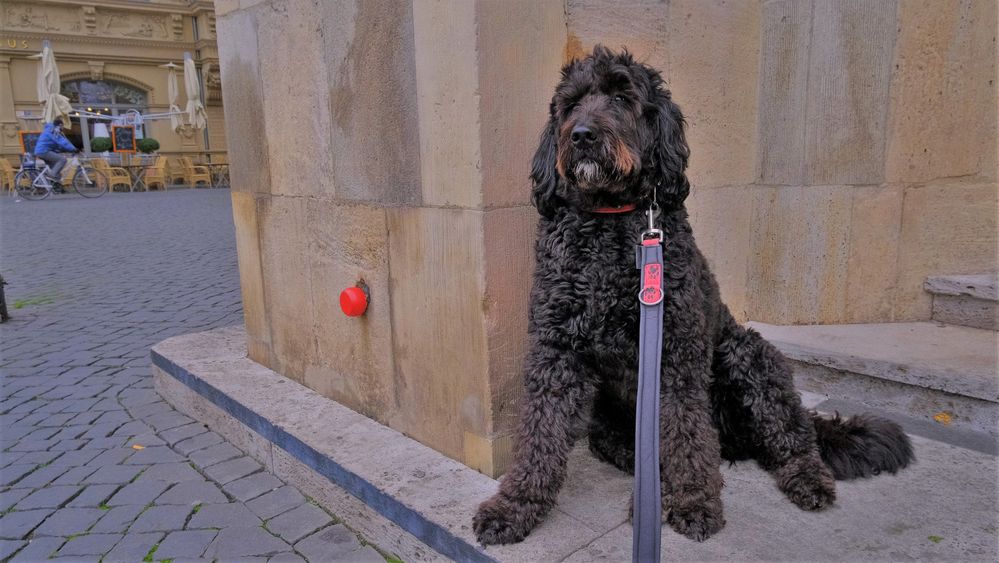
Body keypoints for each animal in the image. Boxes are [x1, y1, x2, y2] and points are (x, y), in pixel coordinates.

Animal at [472, 47, 916, 548]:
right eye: (571, 104)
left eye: (622, 97)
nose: (582, 135)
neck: (611, 219)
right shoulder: (556, 348)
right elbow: (540, 433)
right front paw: (514, 506)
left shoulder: (677, 350)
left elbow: (685, 432)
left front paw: (692, 501)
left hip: (748, 352)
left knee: (787, 434)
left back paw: (804, 477)